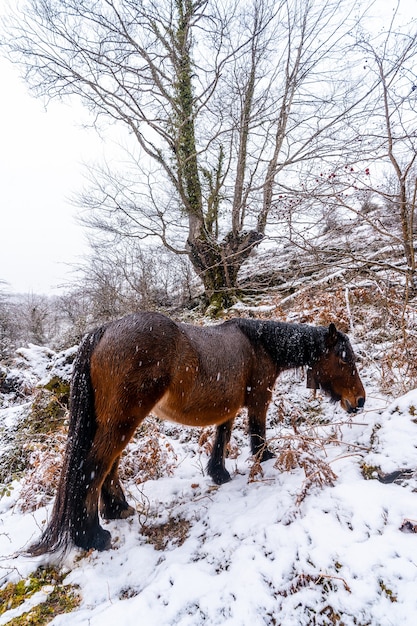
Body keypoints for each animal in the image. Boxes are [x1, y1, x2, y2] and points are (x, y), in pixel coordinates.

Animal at [29, 310, 364, 552]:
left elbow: (222, 437)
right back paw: (91, 535)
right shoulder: (258, 399)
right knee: (95, 465)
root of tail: (103, 331)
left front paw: (219, 473)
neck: (259, 345)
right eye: (344, 359)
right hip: (123, 420)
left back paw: (118, 509)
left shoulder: (229, 408)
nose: (359, 401)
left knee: (108, 464)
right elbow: (257, 434)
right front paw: (265, 459)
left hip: (115, 421)